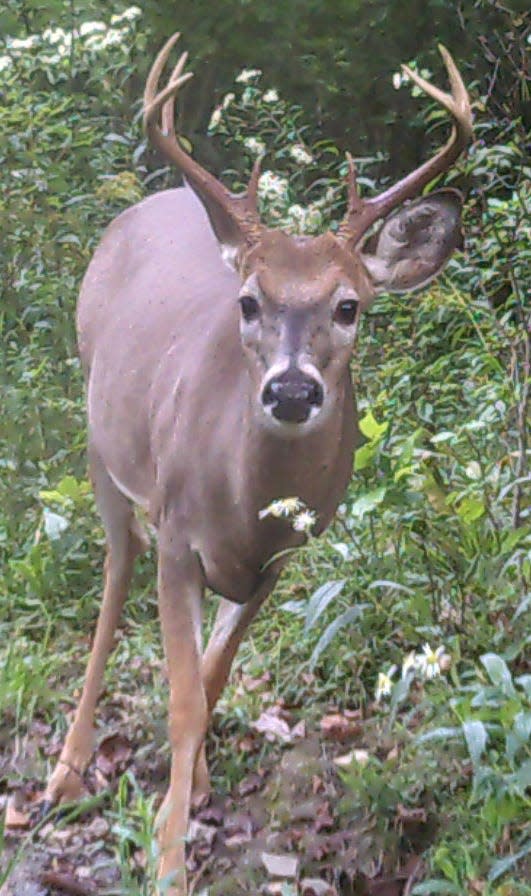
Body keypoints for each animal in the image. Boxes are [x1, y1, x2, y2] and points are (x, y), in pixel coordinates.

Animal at [41, 35, 472, 896]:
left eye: (349, 305)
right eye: (247, 301)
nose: (293, 389)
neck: (240, 498)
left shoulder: (281, 557)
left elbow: (209, 679)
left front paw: (191, 793)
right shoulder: (178, 533)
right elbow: (181, 696)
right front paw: (170, 857)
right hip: (100, 437)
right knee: (115, 567)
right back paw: (67, 770)